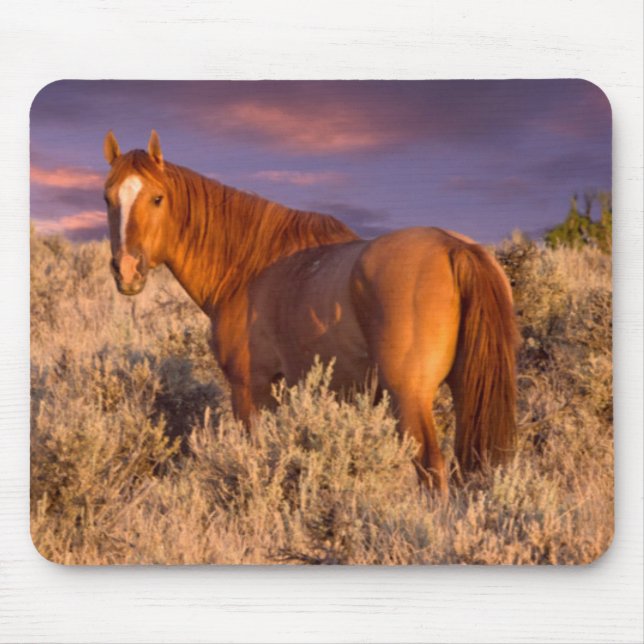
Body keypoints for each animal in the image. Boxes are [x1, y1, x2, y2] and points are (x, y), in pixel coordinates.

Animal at [102, 130, 519, 496]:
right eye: (107, 198)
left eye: (158, 198)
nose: (127, 270)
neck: (248, 268)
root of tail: (455, 248)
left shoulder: (250, 387)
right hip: (464, 390)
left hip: (409, 397)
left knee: (431, 469)